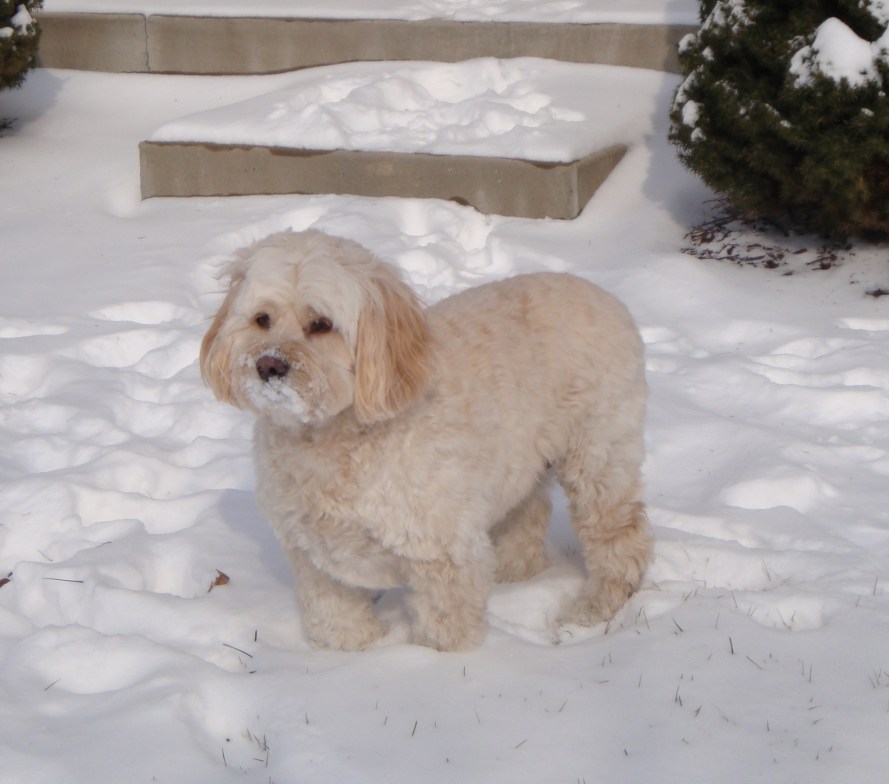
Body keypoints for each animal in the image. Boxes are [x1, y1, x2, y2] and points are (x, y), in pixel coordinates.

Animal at [201, 230, 651, 651]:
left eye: (322, 325)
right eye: (262, 319)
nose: (268, 364)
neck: (329, 440)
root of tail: (604, 294)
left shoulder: (442, 556)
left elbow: (445, 631)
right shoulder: (317, 561)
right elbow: (337, 621)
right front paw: (348, 658)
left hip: (598, 456)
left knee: (619, 538)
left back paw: (596, 606)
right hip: (518, 461)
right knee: (527, 515)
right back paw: (515, 579)